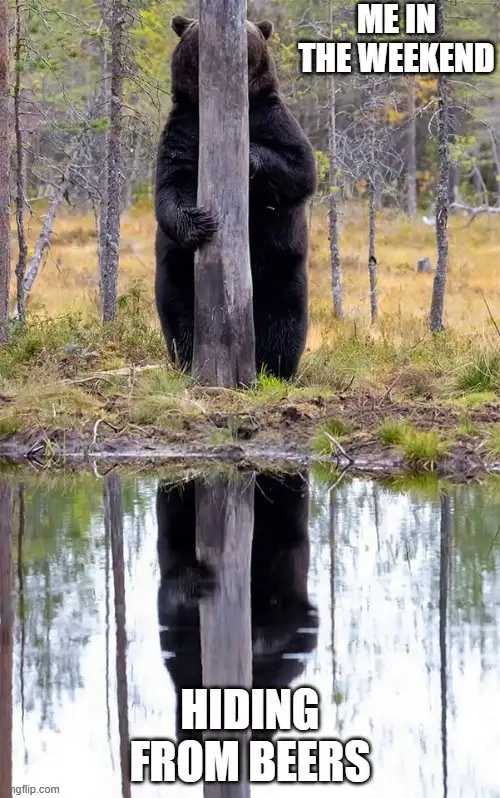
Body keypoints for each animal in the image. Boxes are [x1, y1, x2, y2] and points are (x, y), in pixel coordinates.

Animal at [154, 15, 317, 381]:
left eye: (249, 32)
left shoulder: (272, 117)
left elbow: (299, 167)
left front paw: (250, 157)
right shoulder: (185, 129)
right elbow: (170, 185)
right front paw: (199, 222)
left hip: (282, 267)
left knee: (284, 317)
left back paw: (276, 368)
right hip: (177, 271)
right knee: (178, 311)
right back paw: (188, 358)